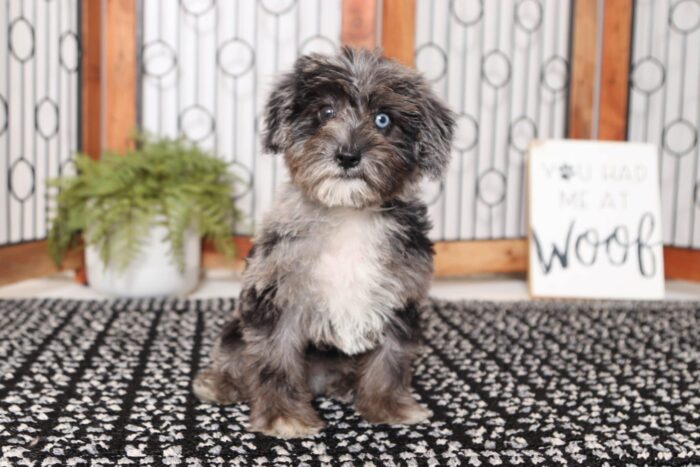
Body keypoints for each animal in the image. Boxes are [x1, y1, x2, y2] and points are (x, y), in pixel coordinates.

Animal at [193, 46, 454, 438]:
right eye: (325, 112)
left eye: (383, 120)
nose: (347, 156)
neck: (348, 213)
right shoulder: (279, 295)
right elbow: (275, 360)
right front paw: (284, 417)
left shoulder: (401, 295)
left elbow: (391, 358)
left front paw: (388, 407)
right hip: (237, 326)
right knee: (234, 353)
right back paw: (221, 383)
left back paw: (345, 384)